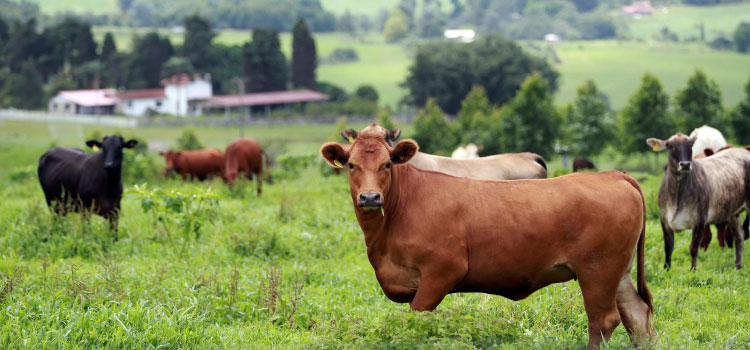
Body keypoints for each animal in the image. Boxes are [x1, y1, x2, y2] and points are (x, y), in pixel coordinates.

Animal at [326, 124, 656, 348]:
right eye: (352, 165)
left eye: (387, 164)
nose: (370, 197)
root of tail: (613, 175)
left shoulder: (441, 272)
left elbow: (418, 322)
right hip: (618, 272)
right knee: (637, 316)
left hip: (597, 271)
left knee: (602, 321)